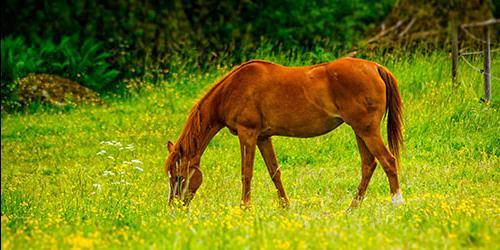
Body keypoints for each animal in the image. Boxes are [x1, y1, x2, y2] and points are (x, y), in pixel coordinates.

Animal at [164, 57, 402, 209]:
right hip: (359, 131)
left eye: (179, 176)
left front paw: (245, 208)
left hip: (366, 130)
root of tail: (375, 67)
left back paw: (397, 203)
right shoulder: (263, 137)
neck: (232, 89)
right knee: (368, 165)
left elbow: (246, 173)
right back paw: (352, 208)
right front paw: (285, 207)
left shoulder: (247, 134)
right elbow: (274, 173)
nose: (174, 207)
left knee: (388, 161)